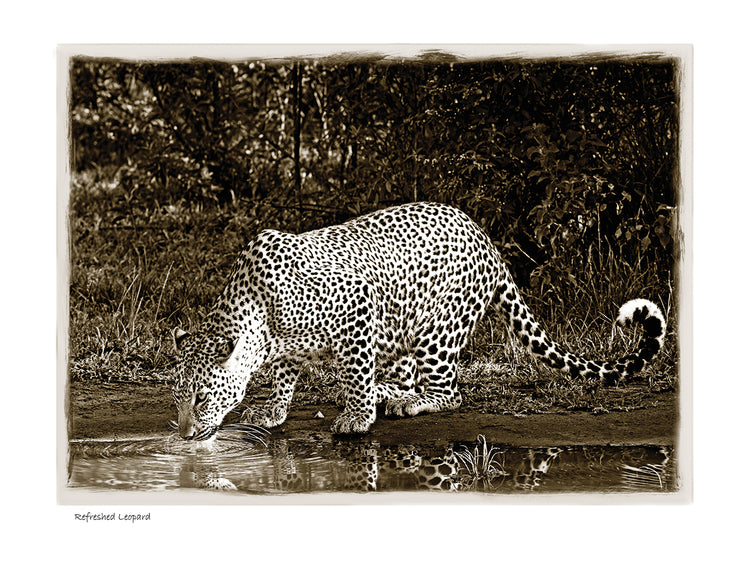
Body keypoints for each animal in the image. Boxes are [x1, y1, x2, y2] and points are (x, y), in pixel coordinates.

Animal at [171, 202, 666, 440]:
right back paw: (387, 395)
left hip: (437, 331)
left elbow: (353, 373)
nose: (183, 434)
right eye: (177, 399)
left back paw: (402, 402)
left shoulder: (358, 308)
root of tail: (488, 241)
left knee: (449, 393)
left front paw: (356, 418)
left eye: (201, 398)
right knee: (405, 379)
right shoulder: (287, 347)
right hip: (400, 336)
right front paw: (273, 410)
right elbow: (283, 376)